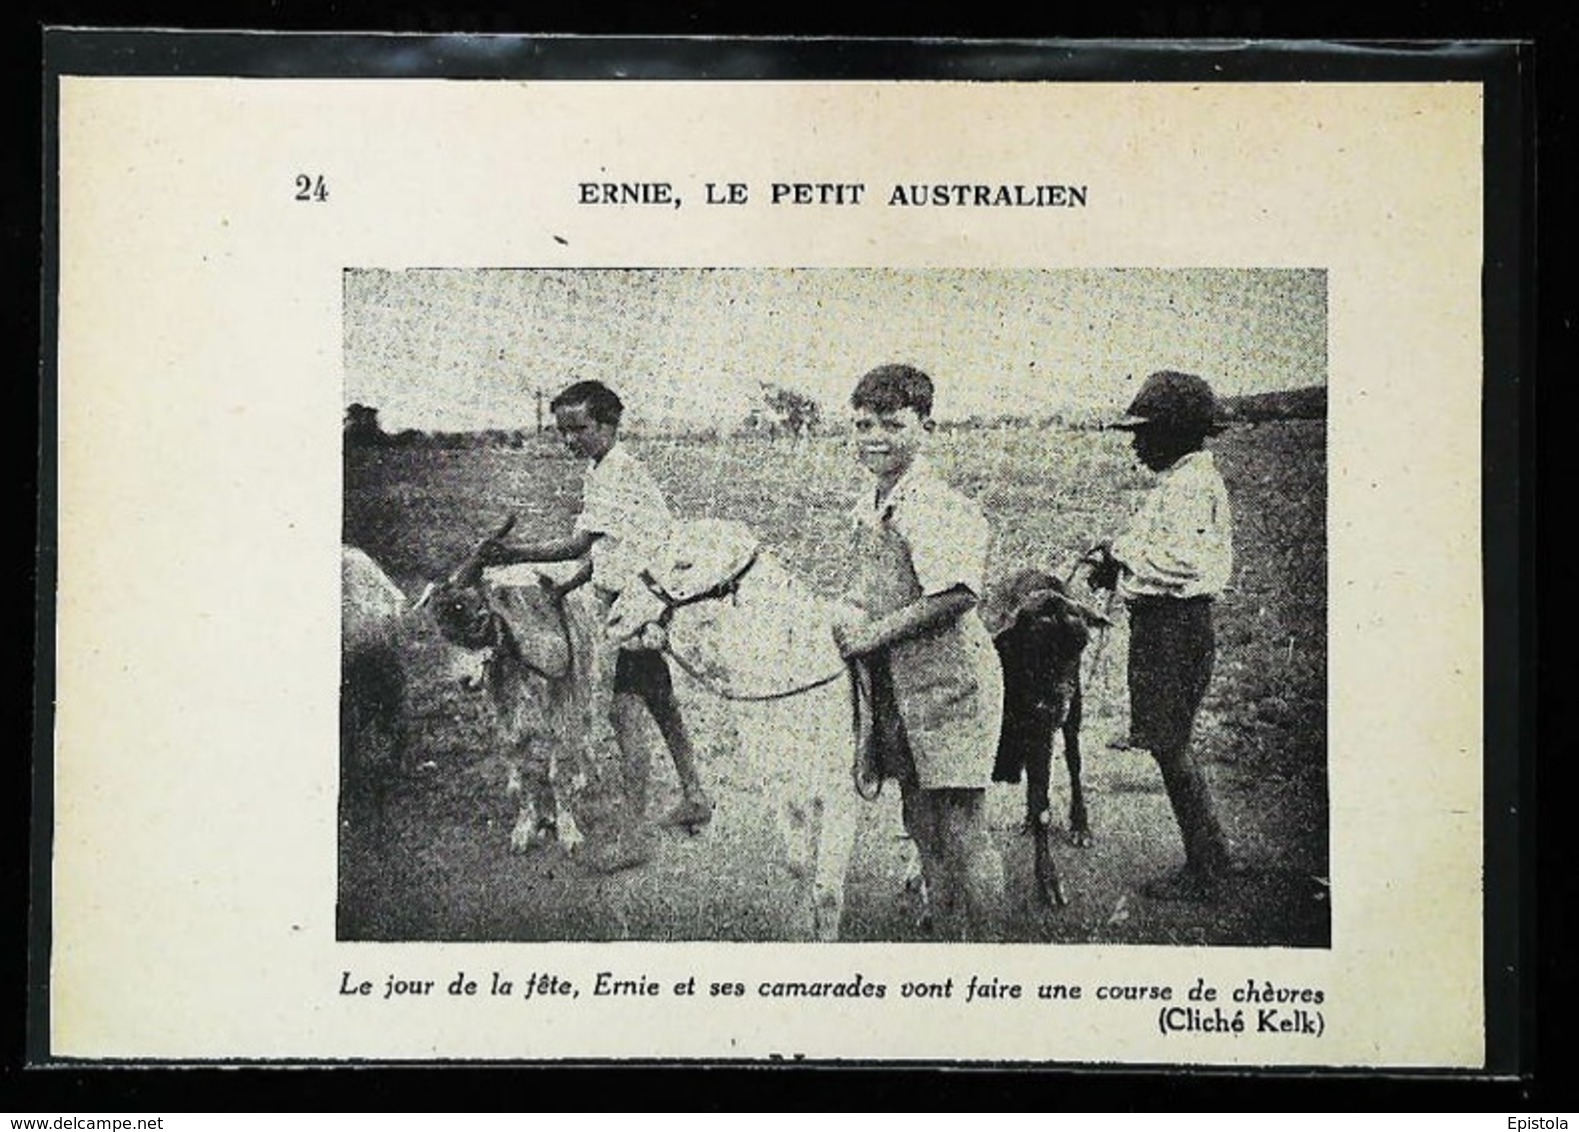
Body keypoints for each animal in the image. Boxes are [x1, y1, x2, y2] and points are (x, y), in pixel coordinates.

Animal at [991, 568, 1105, 903]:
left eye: (1082, 645)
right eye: (1032, 643)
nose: (1056, 706)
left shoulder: (1041, 732)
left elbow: (1044, 807)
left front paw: (1048, 881)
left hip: (1073, 719)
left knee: (1074, 762)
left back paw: (1080, 827)